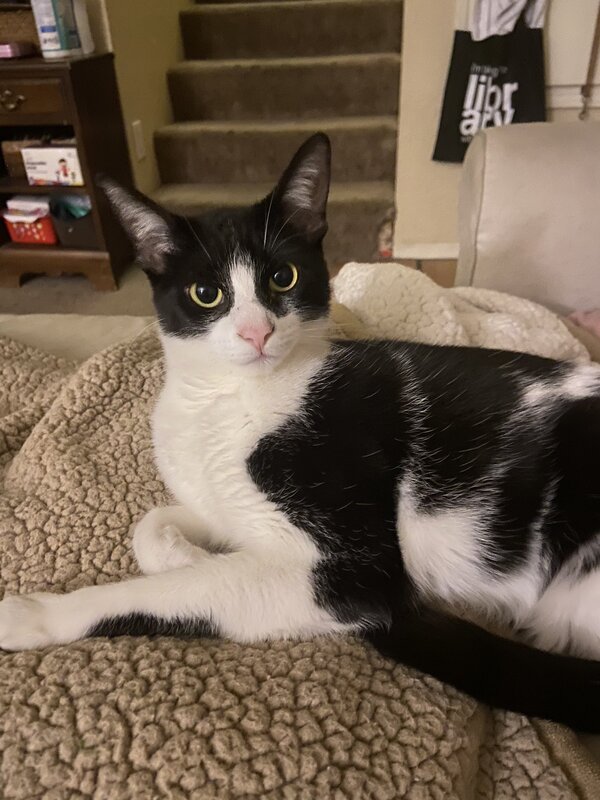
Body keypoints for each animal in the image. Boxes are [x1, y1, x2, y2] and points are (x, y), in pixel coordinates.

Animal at [3, 136, 600, 732]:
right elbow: (153, 525)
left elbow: (172, 593)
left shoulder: (353, 572)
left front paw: (37, 612)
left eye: (282, 278)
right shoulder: (223, 502)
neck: (228, 400)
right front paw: (187, 554)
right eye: (206, 293)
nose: (257, 332)